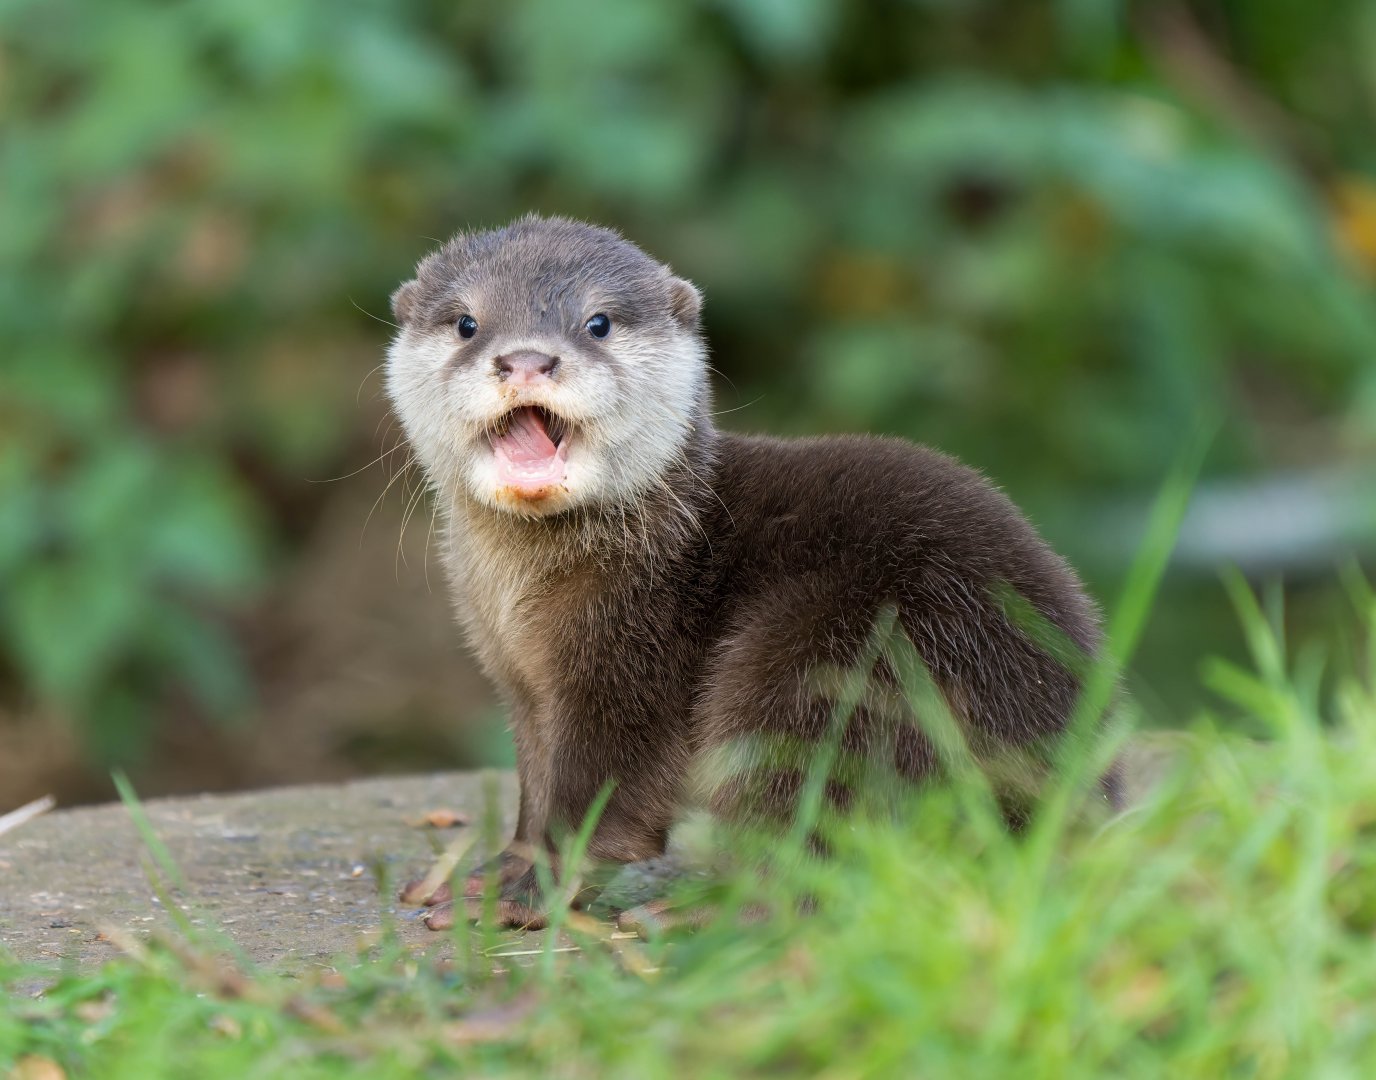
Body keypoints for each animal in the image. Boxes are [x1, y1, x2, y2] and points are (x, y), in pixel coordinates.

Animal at [386, 215, 1114, 930]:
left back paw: (693, 915)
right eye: (466, 323)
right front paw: (496, 872)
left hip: (831, 666)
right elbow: (536, 787)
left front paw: (525, 894)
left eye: (598, 323)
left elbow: (600, 796)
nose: (527, 360)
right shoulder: (523, 686)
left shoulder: (633, 653)